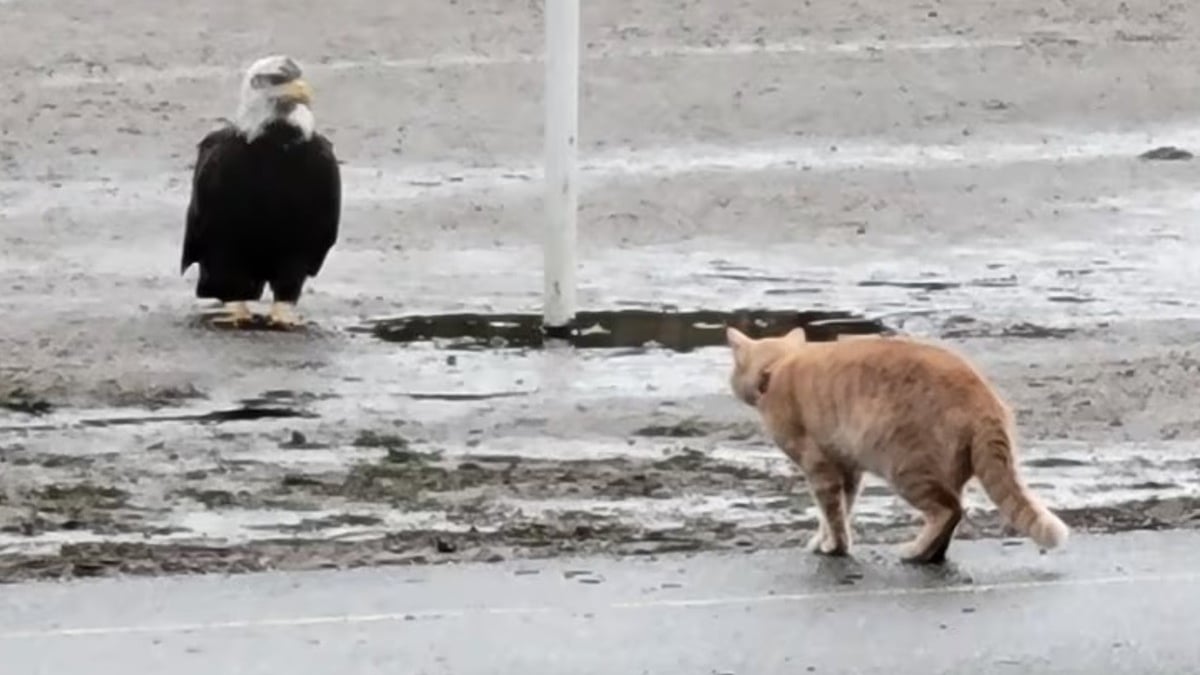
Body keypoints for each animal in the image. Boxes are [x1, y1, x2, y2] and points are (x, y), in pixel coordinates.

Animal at [720, 326, 1070, 562]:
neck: (777, 367)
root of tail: (984, 400)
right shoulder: (848, 468)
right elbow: (841, 510)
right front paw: (825, 540)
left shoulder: (819, 466)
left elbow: (832, 513)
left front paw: (835, 546)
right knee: (953, 513)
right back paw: (930, 554)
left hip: (905, 467)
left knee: (949, 510)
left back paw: (916, 552)